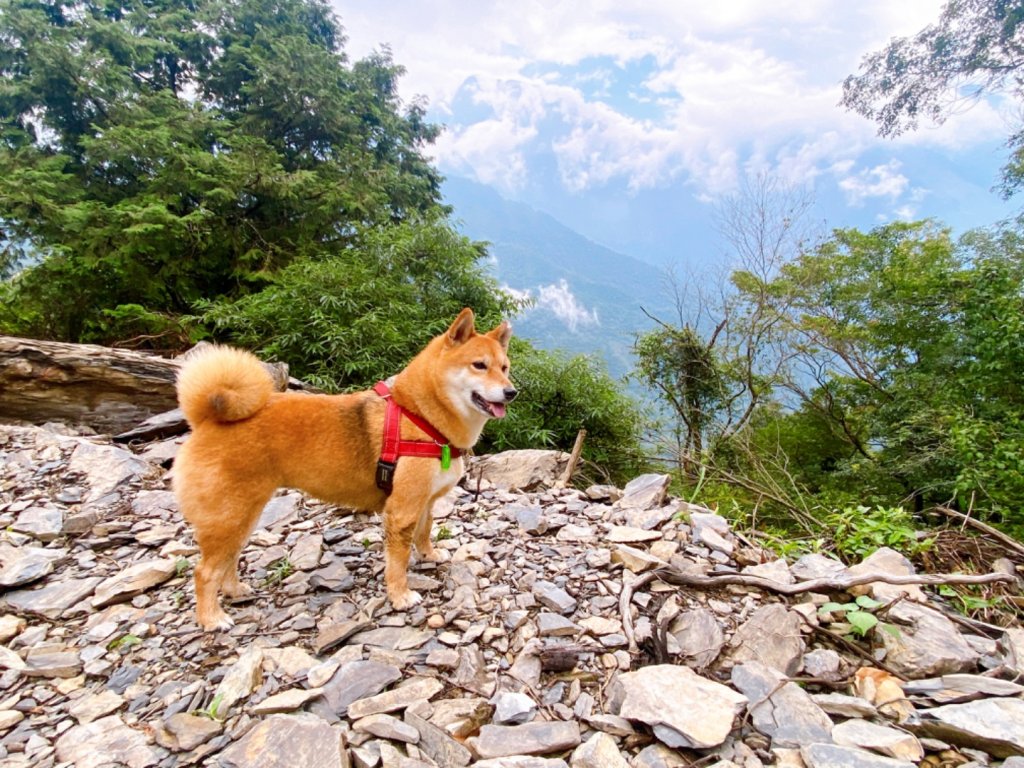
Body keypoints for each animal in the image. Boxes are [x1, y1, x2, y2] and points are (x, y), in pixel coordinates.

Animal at [173, 309, 520, 634]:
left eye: (504, 368)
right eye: (479, 365)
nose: (512, 392)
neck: (420, 418)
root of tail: (206, 419)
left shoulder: (424, 502)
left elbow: (424, 532)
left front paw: (429, 556)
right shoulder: (402, 510)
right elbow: (398, 562)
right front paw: (400, 596)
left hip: (243, 516)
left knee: (229, 559)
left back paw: (235, 591)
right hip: (230, 516)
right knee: (204, 572)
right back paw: (212, 618)